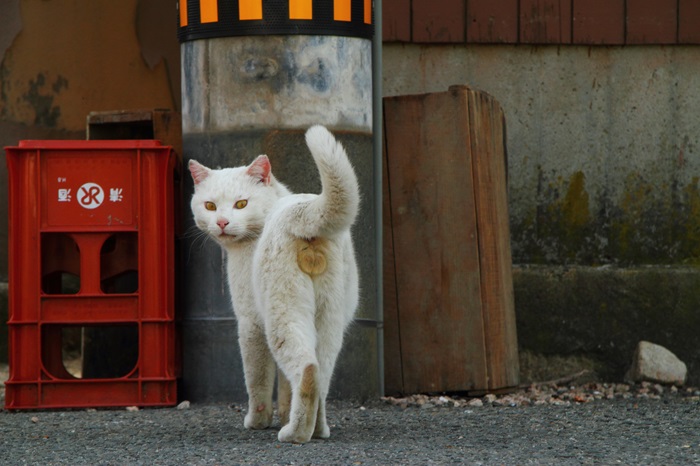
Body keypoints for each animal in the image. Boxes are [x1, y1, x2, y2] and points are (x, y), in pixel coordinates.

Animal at [187, 125, 358, 442]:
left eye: (241, 203)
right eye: (210, 205)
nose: (222, 222)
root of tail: (302, 211)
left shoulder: (251, 322)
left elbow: (258, 379)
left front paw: (259, 421)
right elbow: (285, 388)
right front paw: (283, 414)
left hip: (282, 315)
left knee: (306, 370)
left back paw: (295, 433)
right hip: (329, 319)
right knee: (322, 375)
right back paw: (318, 429)